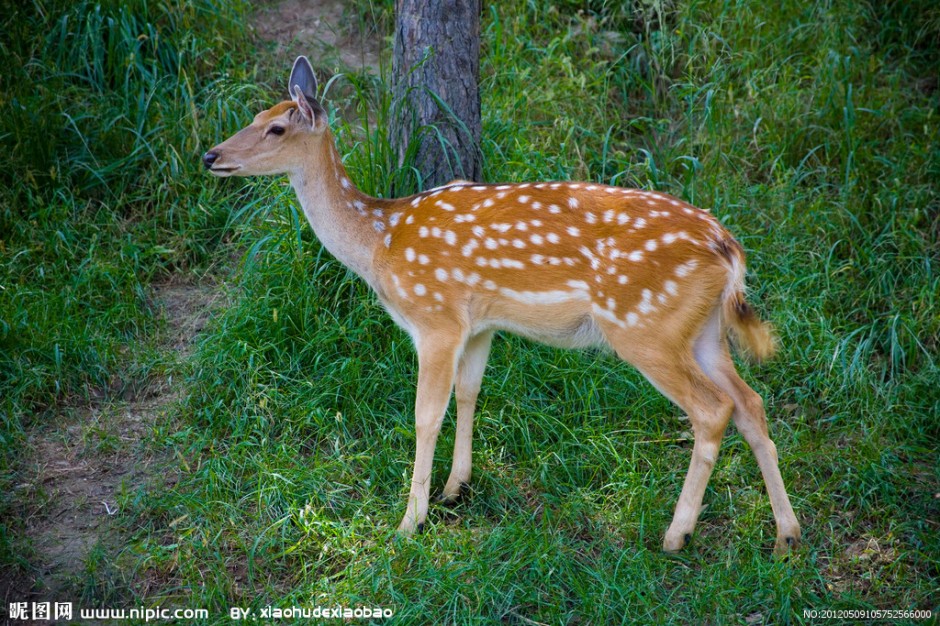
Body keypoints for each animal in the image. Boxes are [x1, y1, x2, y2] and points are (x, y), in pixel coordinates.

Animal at [206, 57, 800, 552]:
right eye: (256, 114)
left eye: (277, 128)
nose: (212, 156)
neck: (379, 242)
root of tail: (729, 249)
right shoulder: (480, 326)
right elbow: (469, 393)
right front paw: (455, 488)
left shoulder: (436, 318)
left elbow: (426, 414)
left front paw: (409, 522)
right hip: (702, 331)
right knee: (750, 403)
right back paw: (786, 535)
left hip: (643, 325)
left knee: (712, 409)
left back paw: (677, 535)